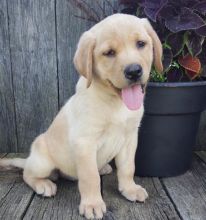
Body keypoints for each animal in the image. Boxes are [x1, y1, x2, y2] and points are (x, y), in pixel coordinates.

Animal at [0, 14, 163, 220]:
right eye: (109, 53)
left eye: (141, 44)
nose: (134, 71)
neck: (115, 103)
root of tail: (29, 159)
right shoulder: (85, 142)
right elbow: (89, 177)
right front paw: (92, 204)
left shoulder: (130, 138)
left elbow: (127, 168)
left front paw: (130, 189)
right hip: (42, 161)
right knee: (28, 174)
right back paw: (43, 184)